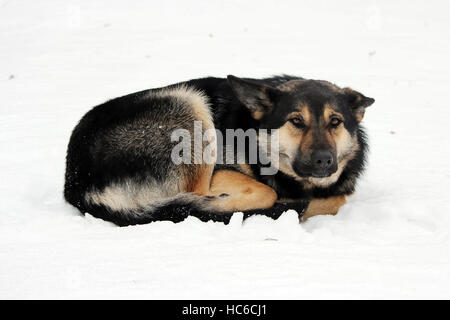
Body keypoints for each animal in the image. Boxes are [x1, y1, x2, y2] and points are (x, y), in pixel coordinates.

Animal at [63, 74, 372, 225]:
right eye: (296, 121)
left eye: (335, 122)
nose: (324, 161)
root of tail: (77, 182)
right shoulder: (220, 172)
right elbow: (268, 191)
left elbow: (336, 200)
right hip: (189, 106)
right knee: (196, 201)